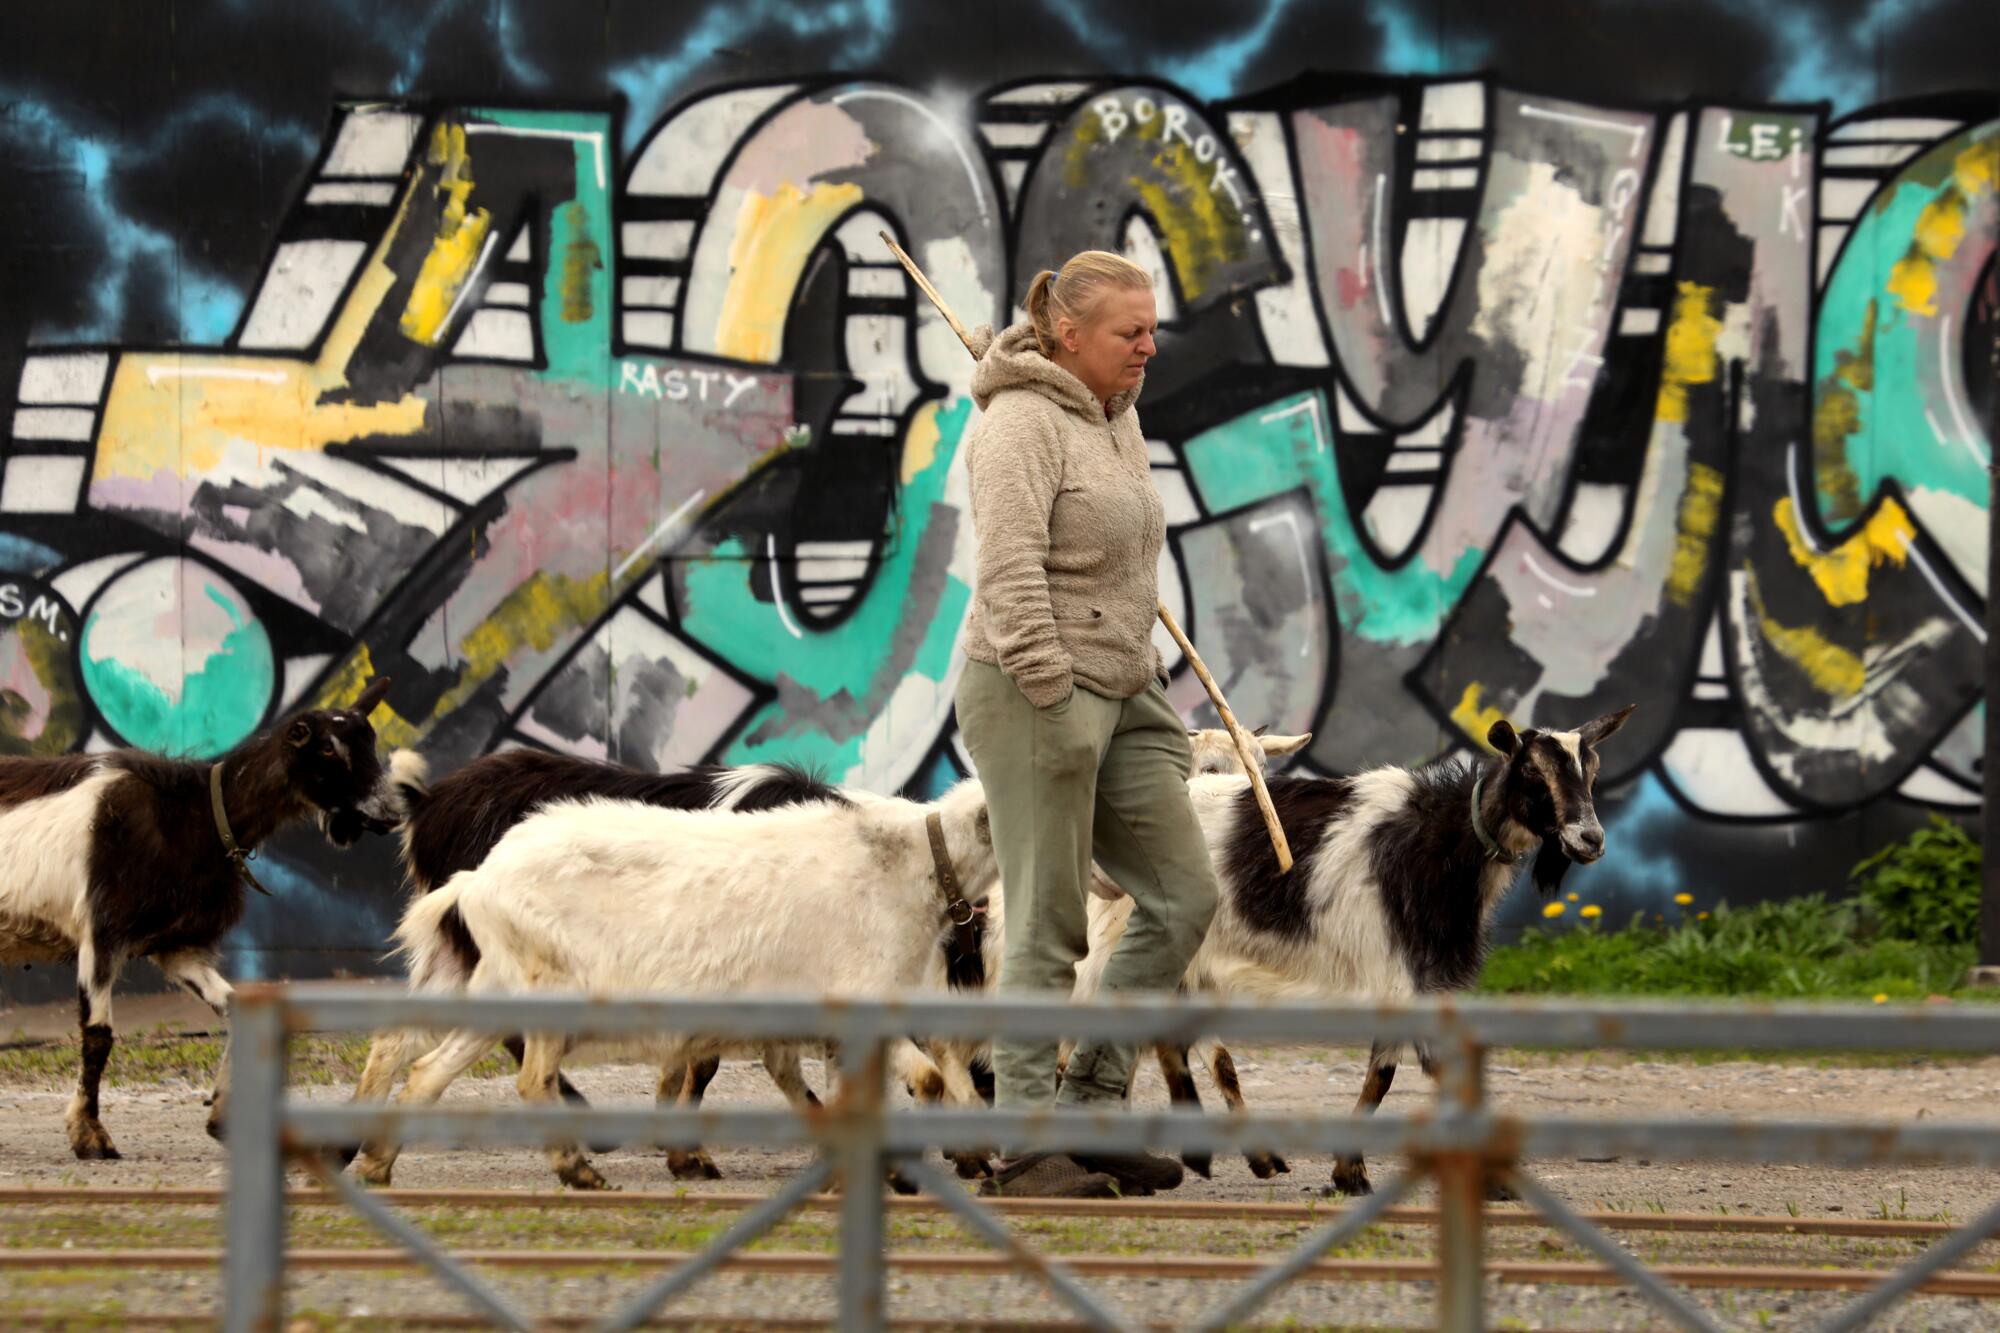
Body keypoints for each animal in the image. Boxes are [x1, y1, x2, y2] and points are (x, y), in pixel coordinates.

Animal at [0, 676, 400, 1152]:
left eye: (370, 741)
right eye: (326, 749)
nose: (390, 811)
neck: (196, 817)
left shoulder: (178, 945)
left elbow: (234, 1009)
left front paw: (222, 1116)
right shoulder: (102, 931)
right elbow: (98, 1034)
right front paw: (89, 1134)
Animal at [354, 772, 1000, 1184]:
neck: (911, 859)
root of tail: (478, 879)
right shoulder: (861, 994)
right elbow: (928, 1076)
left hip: (494, 985)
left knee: (424, 1067)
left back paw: (377, 1162)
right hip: (547, 988)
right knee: (530, 1080)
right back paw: (578, 1170)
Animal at [1040, 704, 1632, 1192]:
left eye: (1592, 770)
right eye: (1532, 772)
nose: (1591, 840)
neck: (1437, 842)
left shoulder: (1422, 974)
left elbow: (1401, 1074)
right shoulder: (1395, 968)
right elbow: (1404, 1073)